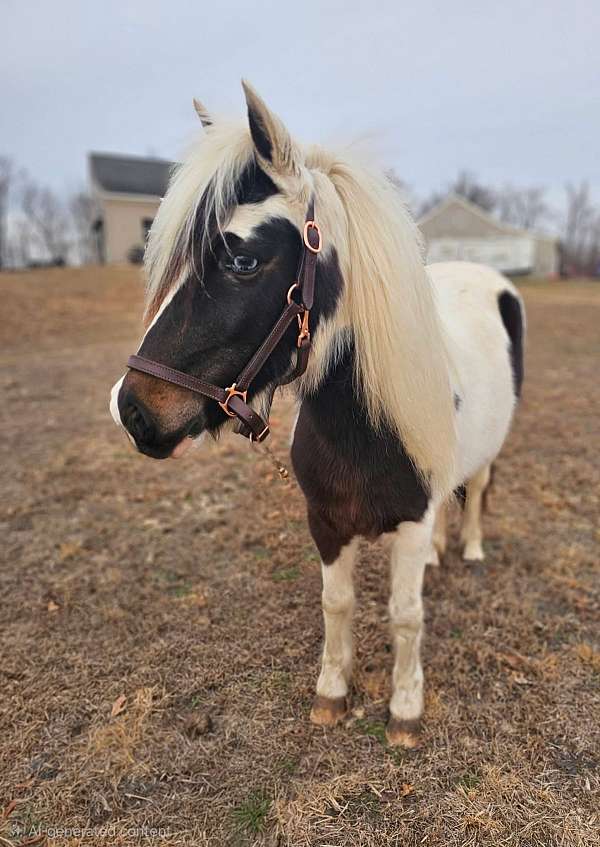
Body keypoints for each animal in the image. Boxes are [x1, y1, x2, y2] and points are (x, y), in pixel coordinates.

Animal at [110, 81, 525, 747]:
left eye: (243, 262)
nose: (134, 411)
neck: (367, 429)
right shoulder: (326, 523)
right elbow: (337, 604)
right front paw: (332, 693)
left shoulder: (409, 522)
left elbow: (406, 615)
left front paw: (405, 708)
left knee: (479, 488)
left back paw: (473, 552)